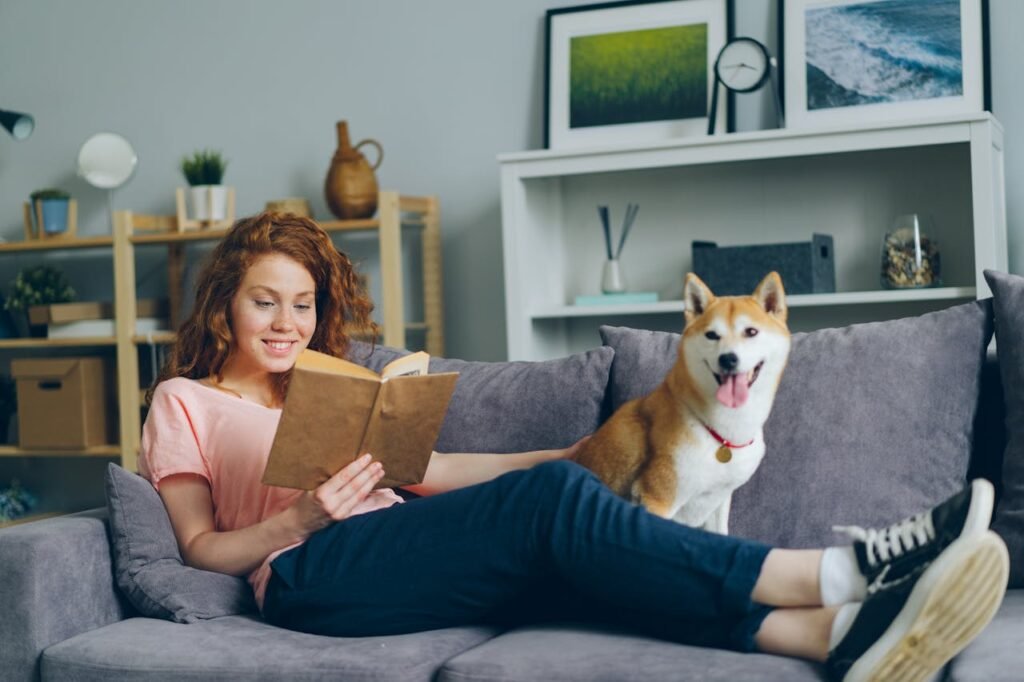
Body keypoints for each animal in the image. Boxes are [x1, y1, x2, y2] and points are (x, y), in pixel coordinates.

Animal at [577, 270, 790, 532]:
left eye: (751, 332)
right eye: (711, 335)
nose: (728, 359)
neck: (723, 433)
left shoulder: (719, 501)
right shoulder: (658, 498)